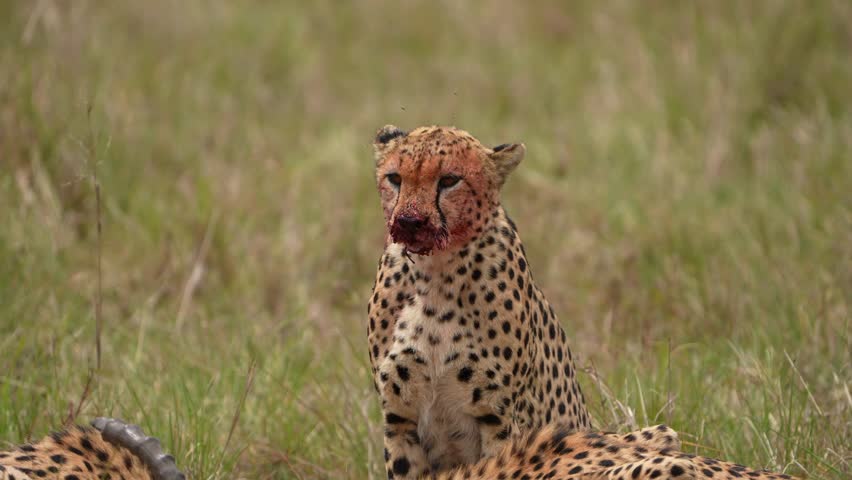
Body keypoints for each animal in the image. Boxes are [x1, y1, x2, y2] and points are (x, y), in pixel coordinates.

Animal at [367, 124, 597, 479]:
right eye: (394, 178)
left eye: (449, 180)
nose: (409, 220)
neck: (434, 274)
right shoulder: (399, 418)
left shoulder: (501, 418)